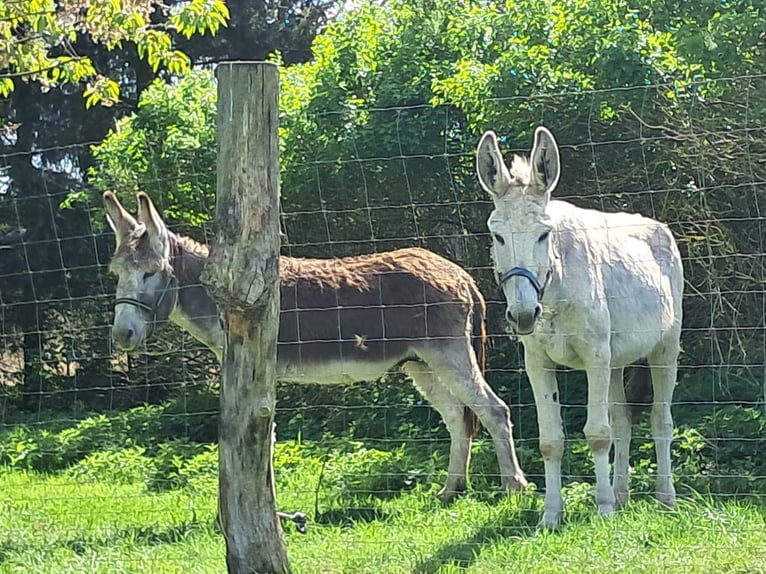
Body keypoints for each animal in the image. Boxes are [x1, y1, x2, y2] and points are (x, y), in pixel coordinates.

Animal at [102, 190, 528, 500]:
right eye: (115, 273)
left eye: (151, 272)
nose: (122, 336)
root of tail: (458, 272)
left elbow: (264, 436)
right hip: (419, 362)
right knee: (458, 417)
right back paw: (452, 488)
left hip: (448, 351)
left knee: (493, 410)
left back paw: (514, 487)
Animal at [475, 126, 683, 528]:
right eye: (497, 236)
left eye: (544, 235)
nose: (523, 316)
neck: (555, 288)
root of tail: (657, 224)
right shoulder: (538, 362)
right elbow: (551, 440)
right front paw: (551, 516)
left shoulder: (594, 357)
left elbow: (597, 434)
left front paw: (602, 511)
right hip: (617, 359)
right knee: (623, 420)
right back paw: (621, 496)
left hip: (664, 348)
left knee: (660, 420)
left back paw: (665, 499)